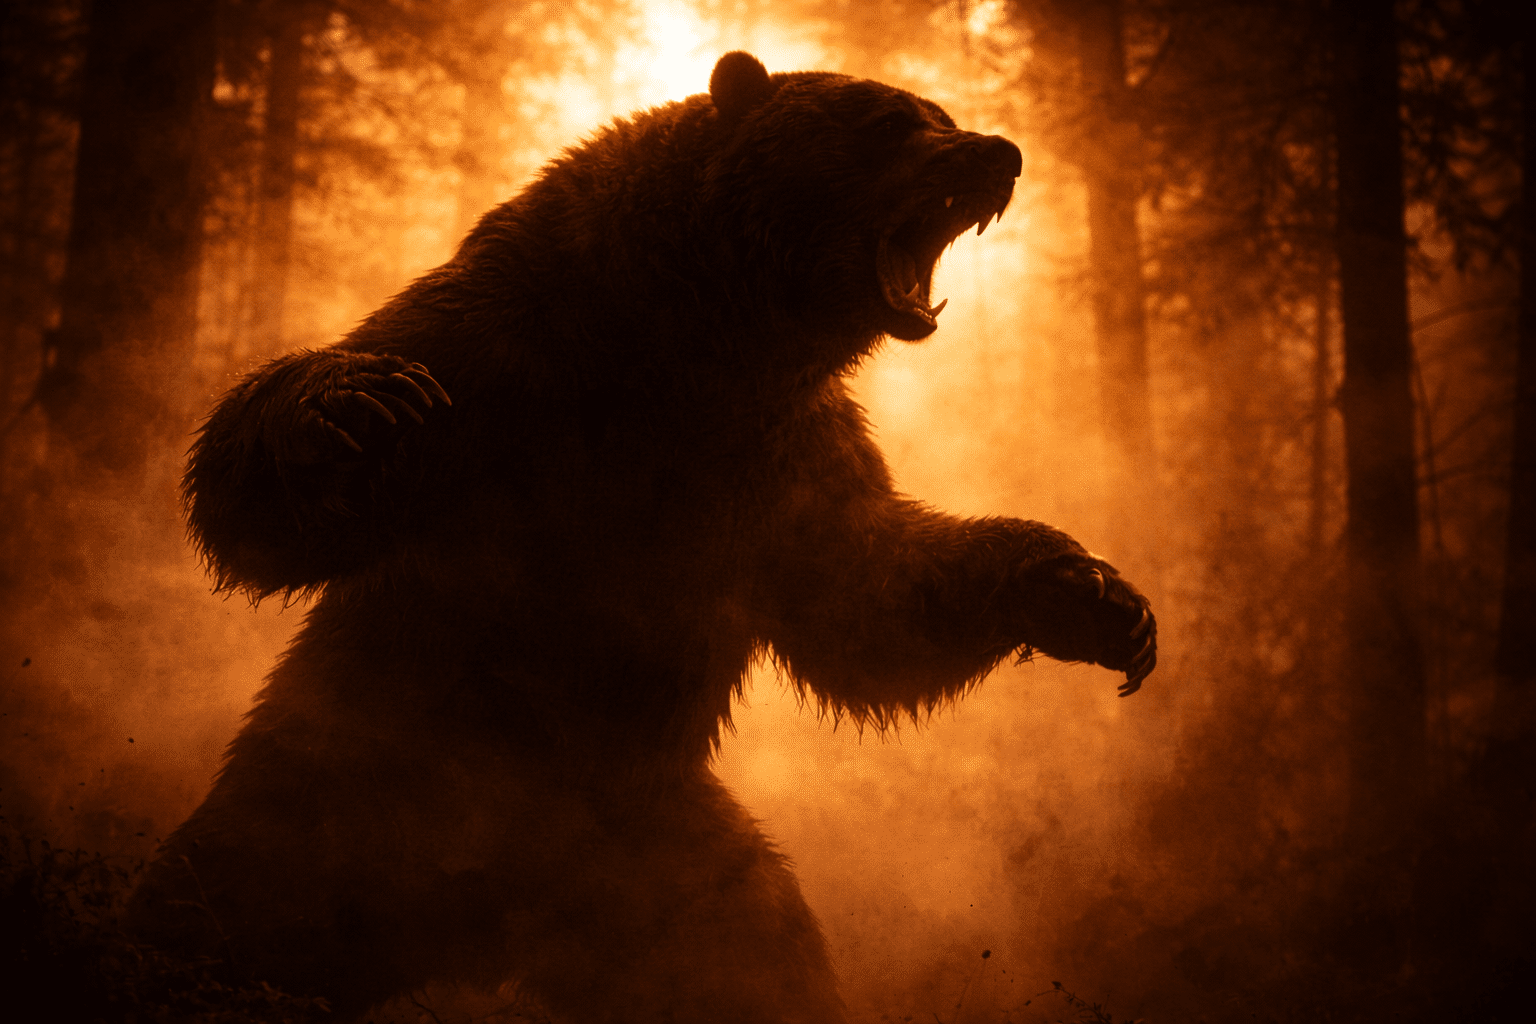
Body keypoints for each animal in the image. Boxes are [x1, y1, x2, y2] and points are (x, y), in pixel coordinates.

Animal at [128, 51, 1156, 1023]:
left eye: (940, 112)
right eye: (890, 120)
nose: (998, 153)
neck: (696, 344)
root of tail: (476, 936)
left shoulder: (780, 459)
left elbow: (866, 604)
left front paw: (1093, 596)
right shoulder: (511, 350)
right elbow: (277, 504)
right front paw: (347, 409)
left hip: (661, 864)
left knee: (758, 970)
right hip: (331, 803)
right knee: (208, 926)